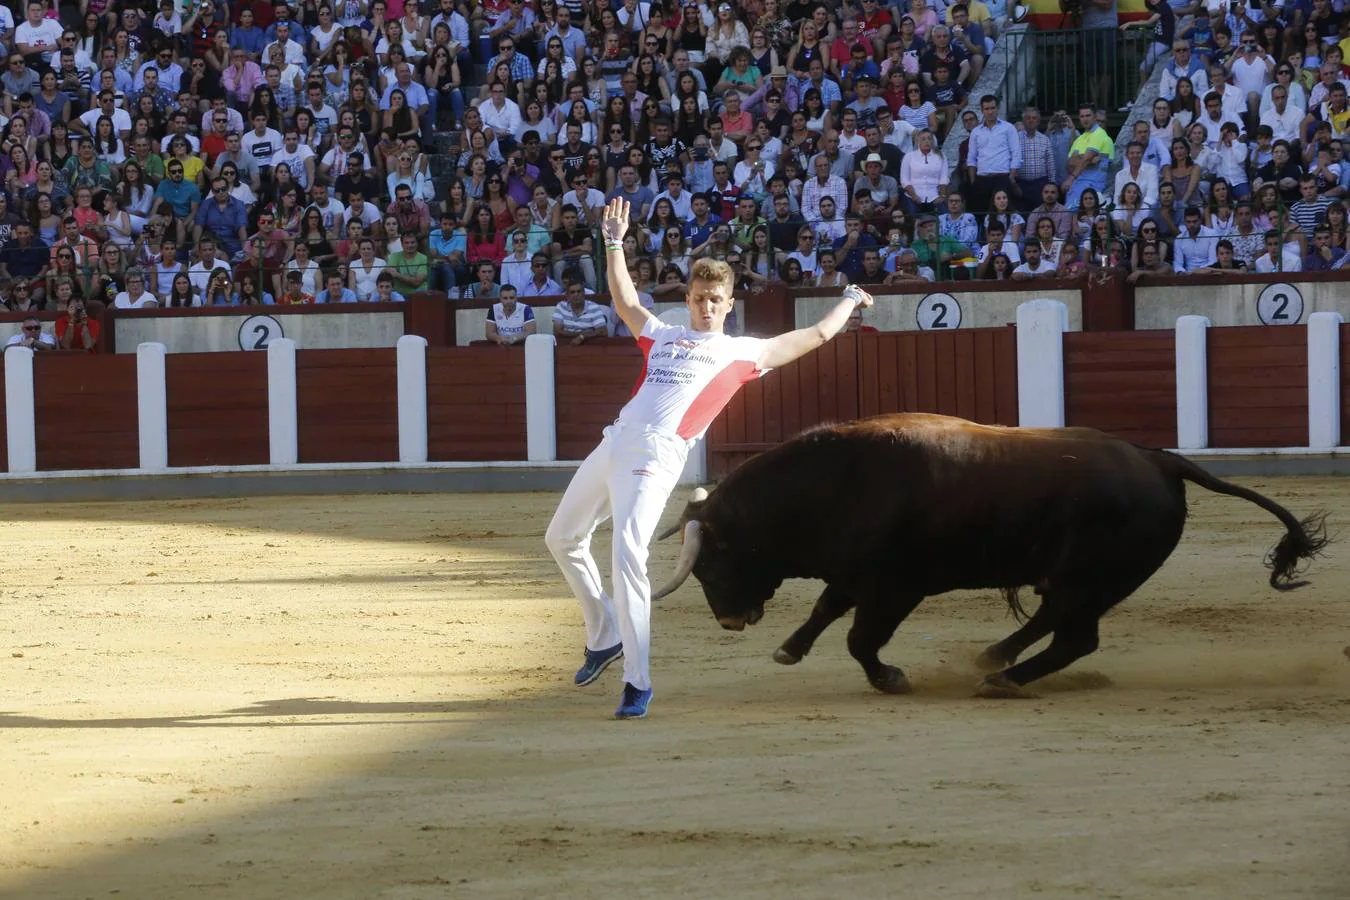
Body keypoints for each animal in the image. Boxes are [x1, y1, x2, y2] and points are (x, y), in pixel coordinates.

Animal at [653, 412, 1328, 696]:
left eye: (710, 563)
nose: (729, 621)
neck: (837, 480)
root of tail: (1160, 460)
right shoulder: (854, 573)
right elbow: (825, 612)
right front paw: (789, 650)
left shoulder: (895, 587)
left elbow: (859, 639)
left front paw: (891, 678)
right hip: (1077, 579)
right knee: (1055, 623)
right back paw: (992, 658)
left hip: (1089, 576)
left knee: (1074, 636)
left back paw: (1001, 679)